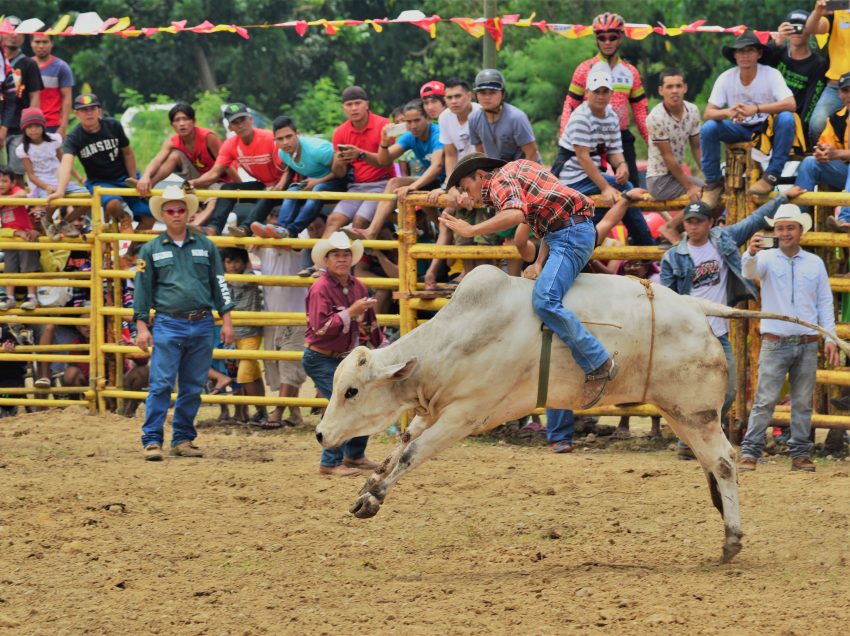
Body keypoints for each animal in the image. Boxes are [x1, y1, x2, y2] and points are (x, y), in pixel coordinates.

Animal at [314, 266, 844, 564]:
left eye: (352, 391)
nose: (321, 434)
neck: (457, 338)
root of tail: (698, 306)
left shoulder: (467, 415)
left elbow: (412, 454)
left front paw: (372, 498)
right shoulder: (439, 409)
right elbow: (402, 446)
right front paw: (367, 489)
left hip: (694, 412)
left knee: (725, 463)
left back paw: (731, 540)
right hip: (682, 413)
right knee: (713, 464)